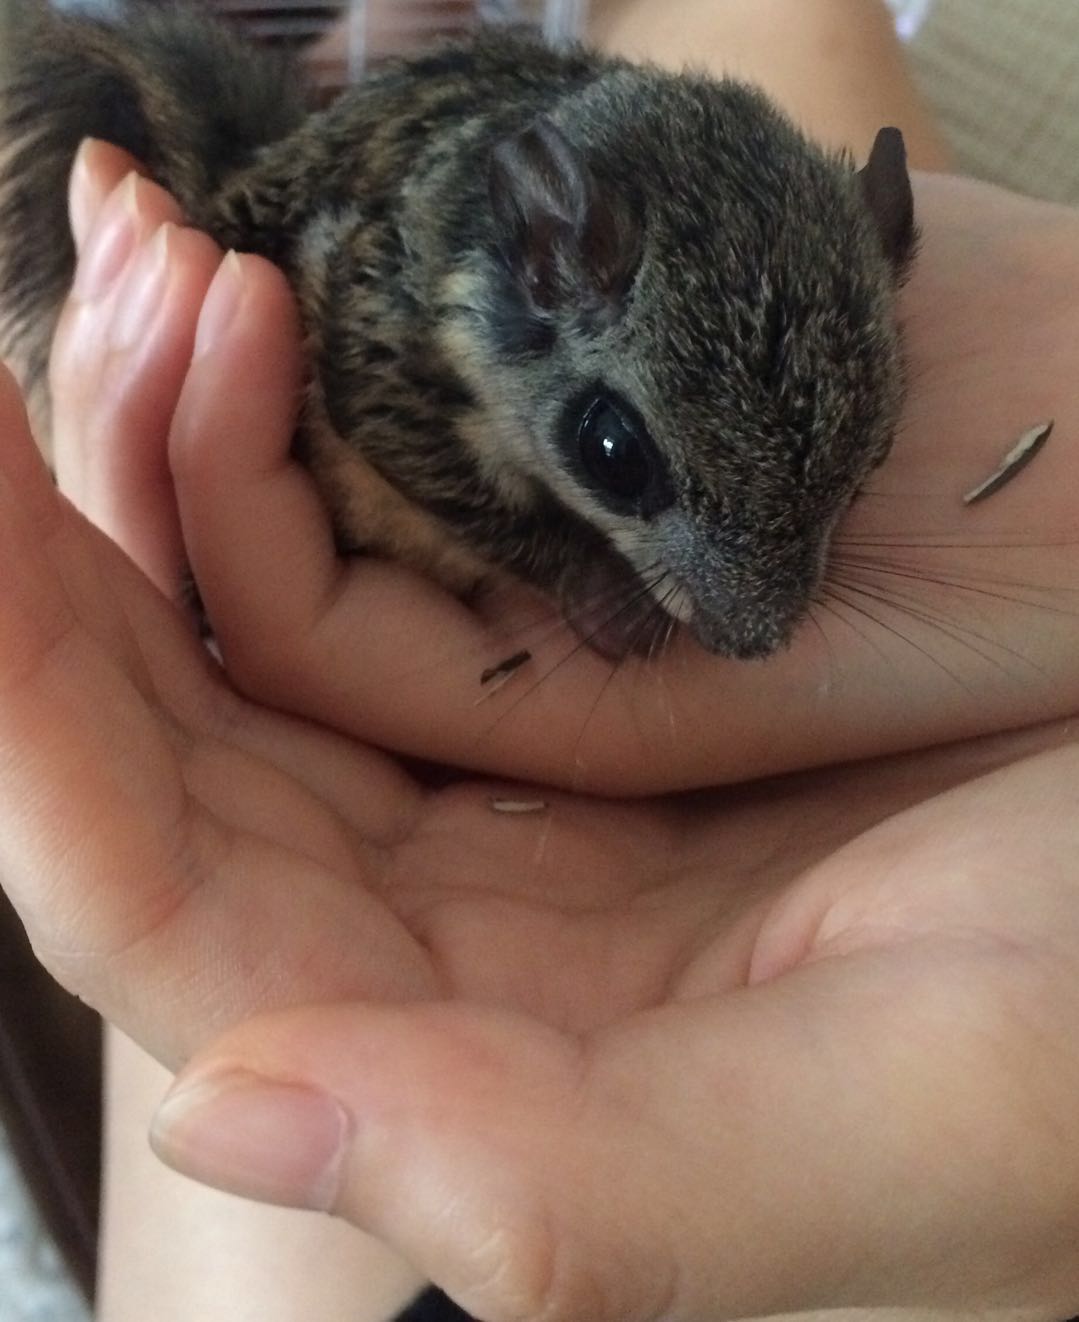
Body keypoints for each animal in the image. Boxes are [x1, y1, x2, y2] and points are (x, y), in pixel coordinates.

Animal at [0, 0, 915, 661]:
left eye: (875, 461)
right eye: (612, 454)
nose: (752, 643)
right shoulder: (378, 323)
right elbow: (439, 468)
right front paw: (598, 594)